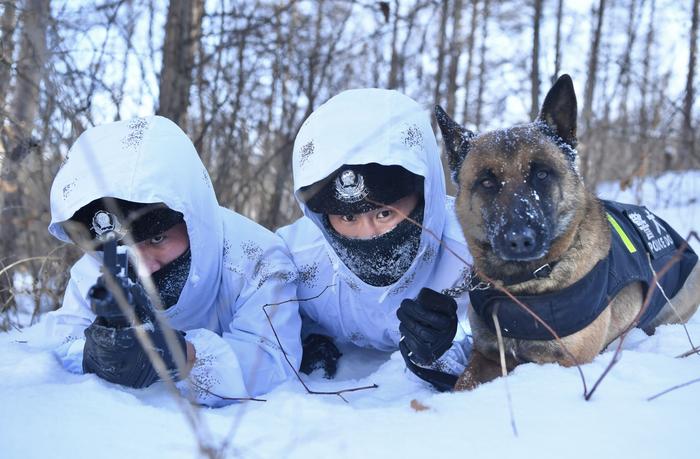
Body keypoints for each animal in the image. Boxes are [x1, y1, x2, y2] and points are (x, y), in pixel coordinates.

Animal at [434, 74, 696, 388]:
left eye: (541, 174)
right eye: (487, 182)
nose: (520, 240)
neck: (522, 287)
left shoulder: (561, 363)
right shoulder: (485, 354)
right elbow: (463, 383)